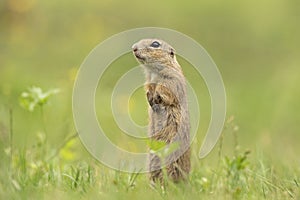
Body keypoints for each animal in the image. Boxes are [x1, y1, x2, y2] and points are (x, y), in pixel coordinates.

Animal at [131, 38, 190, 184]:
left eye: (155, 44)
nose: (133, 48)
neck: (153, 72)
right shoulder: (149, 81)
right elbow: (148, 88)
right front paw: (150, 98)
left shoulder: (172, 79)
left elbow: (165, 90)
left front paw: (156, 98)